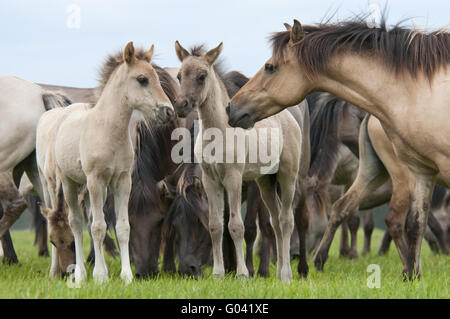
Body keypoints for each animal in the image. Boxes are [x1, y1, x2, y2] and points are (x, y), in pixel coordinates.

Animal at [37, 42, 174, 284]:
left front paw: (126, 276)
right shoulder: (95, 181)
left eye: (157, 77)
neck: (108, 131)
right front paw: (100, 277)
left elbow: (122, 227)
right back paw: (81, 274)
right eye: (142, 79)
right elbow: (98, 227)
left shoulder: (122, 181)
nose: (168, 111)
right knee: (76, 223)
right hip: (69, 183)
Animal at [174, 42, 304, 282]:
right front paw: (218, 274)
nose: (181, 105)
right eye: (179, 76)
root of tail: (288, 118)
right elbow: (216, 226)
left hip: (287, 176)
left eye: (202, 76)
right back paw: (279, 272)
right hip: (265, 181)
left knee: (286, 220)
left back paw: (286, 275)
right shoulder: (210, 181)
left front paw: (243, 274)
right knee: (275, 221)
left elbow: (236, 226)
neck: (218, 132)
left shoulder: (233, 179)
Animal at [229, 16, 450, 280]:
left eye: (270, 67)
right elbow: (415, 224)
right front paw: (413, 277)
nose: (232, 106)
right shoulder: (420, 170)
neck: (419, 91)